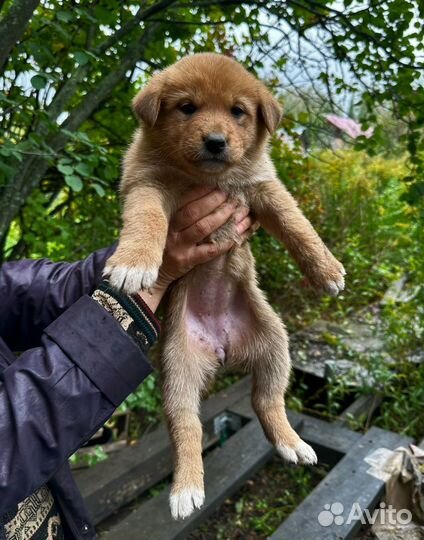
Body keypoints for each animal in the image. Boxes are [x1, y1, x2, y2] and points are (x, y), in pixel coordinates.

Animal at [104, 53, 346, 520]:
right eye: (187, 108)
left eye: (238, 111)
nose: (216, 141)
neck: (207, 178)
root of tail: (223, 347)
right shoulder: (147, 184)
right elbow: (147, 219)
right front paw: (133, 261)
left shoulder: (263, 188)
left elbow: (296, 223)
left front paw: (325, 270)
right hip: (177, 370)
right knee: (187, 426)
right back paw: (186, 489)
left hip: (275, 343)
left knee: (266, 400)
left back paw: (291, 444)